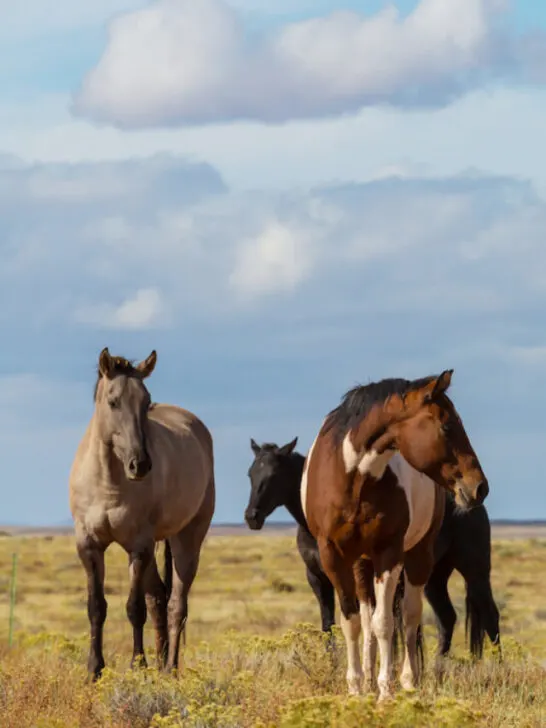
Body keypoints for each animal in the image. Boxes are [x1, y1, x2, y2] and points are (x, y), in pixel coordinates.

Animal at [69, 348, 215, 681]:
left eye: (146, 402)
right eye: (113, 401)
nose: (141, 464)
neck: (108, 481)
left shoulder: (138, 546)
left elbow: (135, 608)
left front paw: (138, 666)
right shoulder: (89, 545)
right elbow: (96, 606)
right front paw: (94, 670)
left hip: (186, 538)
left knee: (176, 605)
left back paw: (170, 669)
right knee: (159, 598)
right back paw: (162, 666)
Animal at [244, 438, 500, 660]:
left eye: (274, 475)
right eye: (251, 474)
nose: (251, 517)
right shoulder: (318, 578)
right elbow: (328, 624)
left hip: (474, 571)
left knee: (490, 615)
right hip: (434, 577)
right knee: (447, 618)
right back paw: (439, 669)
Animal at [301, 370, 489, 701]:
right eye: (447, 425)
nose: (479, 487)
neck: (354, 479)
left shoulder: (388, 553)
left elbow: (386, 622)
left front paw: (386, 691)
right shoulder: (333, 556)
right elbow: (352, 622)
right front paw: (356, 688)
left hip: (419, 556)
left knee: (410, 616)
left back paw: (408, 680)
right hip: (361, 564)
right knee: (367, 617)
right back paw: (368, 677)